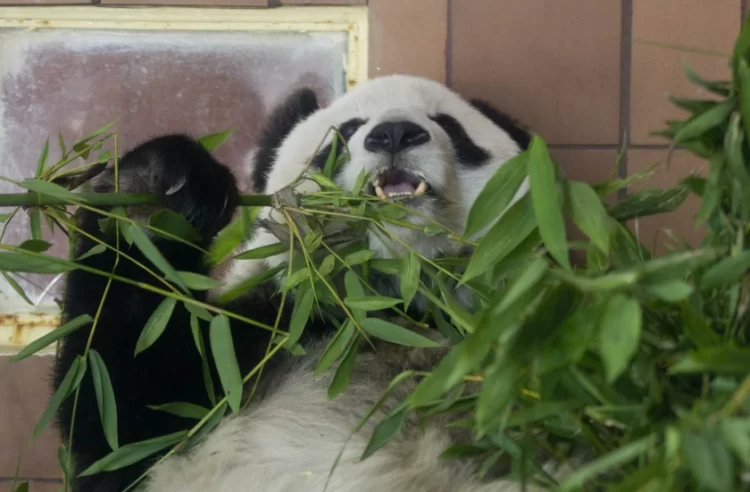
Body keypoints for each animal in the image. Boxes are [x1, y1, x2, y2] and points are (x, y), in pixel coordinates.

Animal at [52, 74, 552, 492]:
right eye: (346, 131)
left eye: (450, 125)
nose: (394, 133)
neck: (390, 305)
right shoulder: (254, 339)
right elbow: (118, 409)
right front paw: (156, 191)